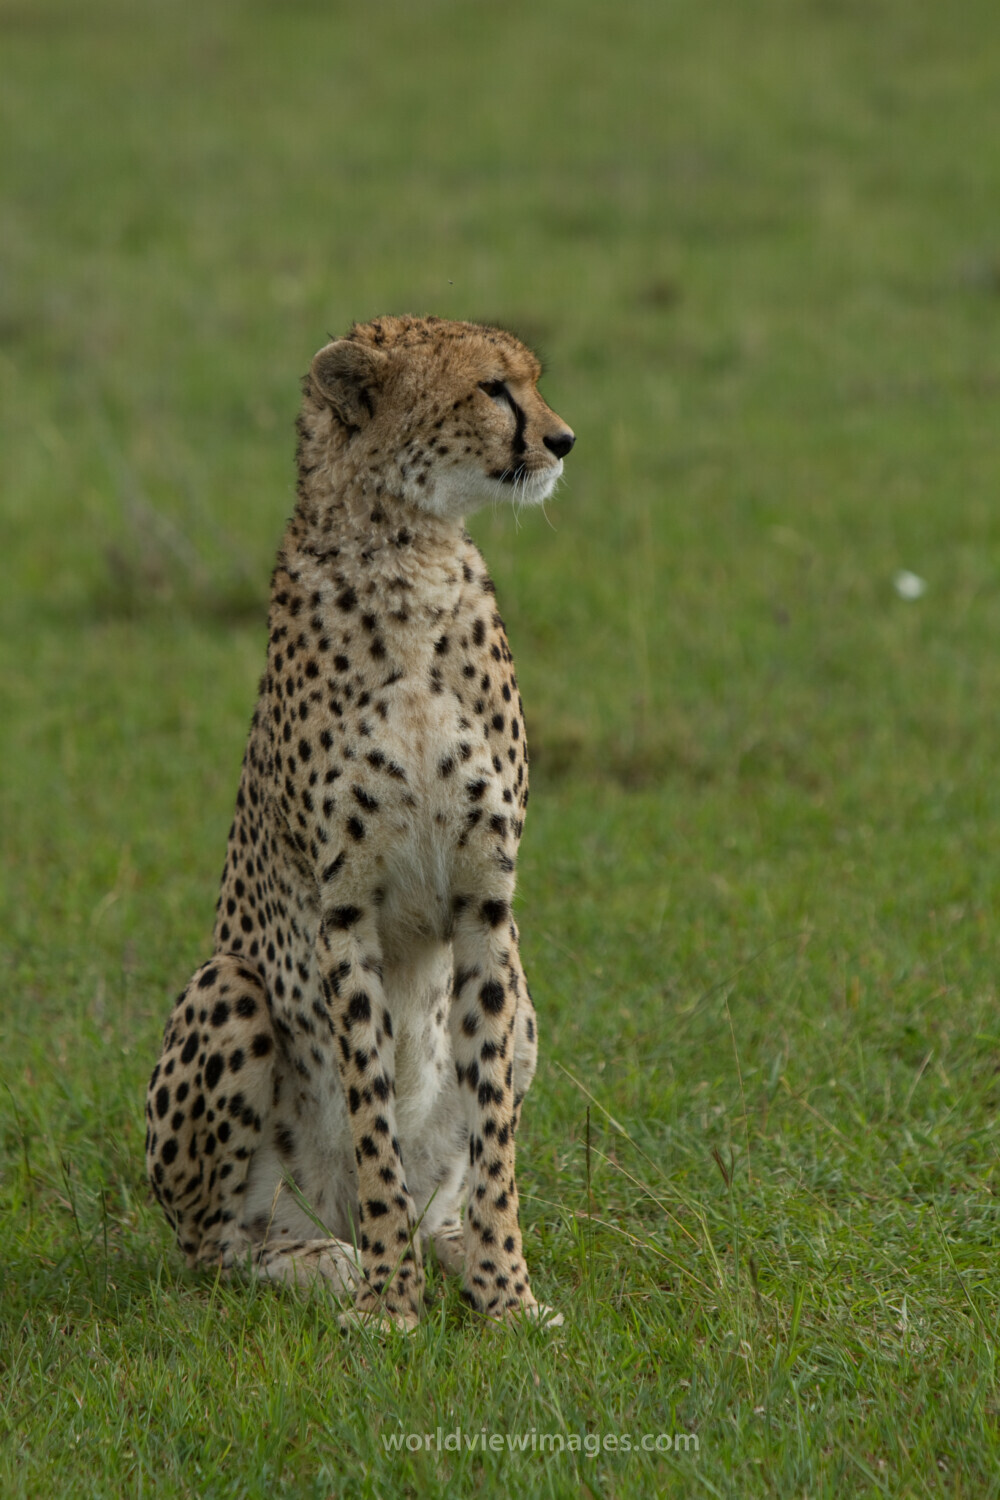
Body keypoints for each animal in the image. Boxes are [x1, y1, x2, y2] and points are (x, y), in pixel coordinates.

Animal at [144, 314, 575, 1330]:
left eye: (531, 380)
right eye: (493, 388)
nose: (563, 439)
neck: (408, 556)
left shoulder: (486, 904)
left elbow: (492, 1133)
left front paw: (507, 1294)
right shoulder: (345, 912)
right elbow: (372, 1112)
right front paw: (388, 1303)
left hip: (526, 990)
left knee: (445, 1189)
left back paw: (449, 1249)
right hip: (228, 987)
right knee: (216, 1245)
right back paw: (324, 1259)